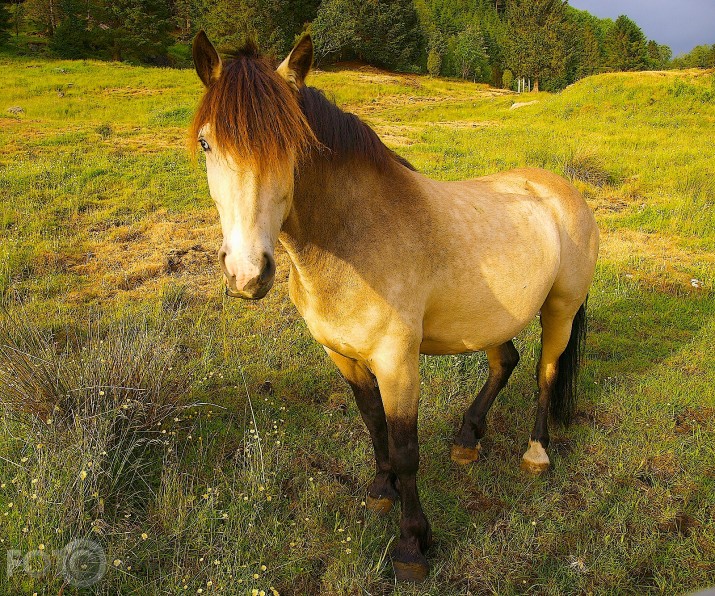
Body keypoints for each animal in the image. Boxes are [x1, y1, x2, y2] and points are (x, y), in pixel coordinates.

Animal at [189, 32, 600, 584]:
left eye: (293, 145)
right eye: (207, 143)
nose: (247, 274)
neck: (356, 238)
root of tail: (563, 190)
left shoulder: (397, 362)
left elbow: (406, 451)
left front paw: (412, 545)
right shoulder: (344, 356)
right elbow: (374, 425)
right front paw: (381, 491)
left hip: (559, 310)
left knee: (544, 374)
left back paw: (536, 454)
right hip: (492, 320)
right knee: (506, 362)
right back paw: (467, 438)